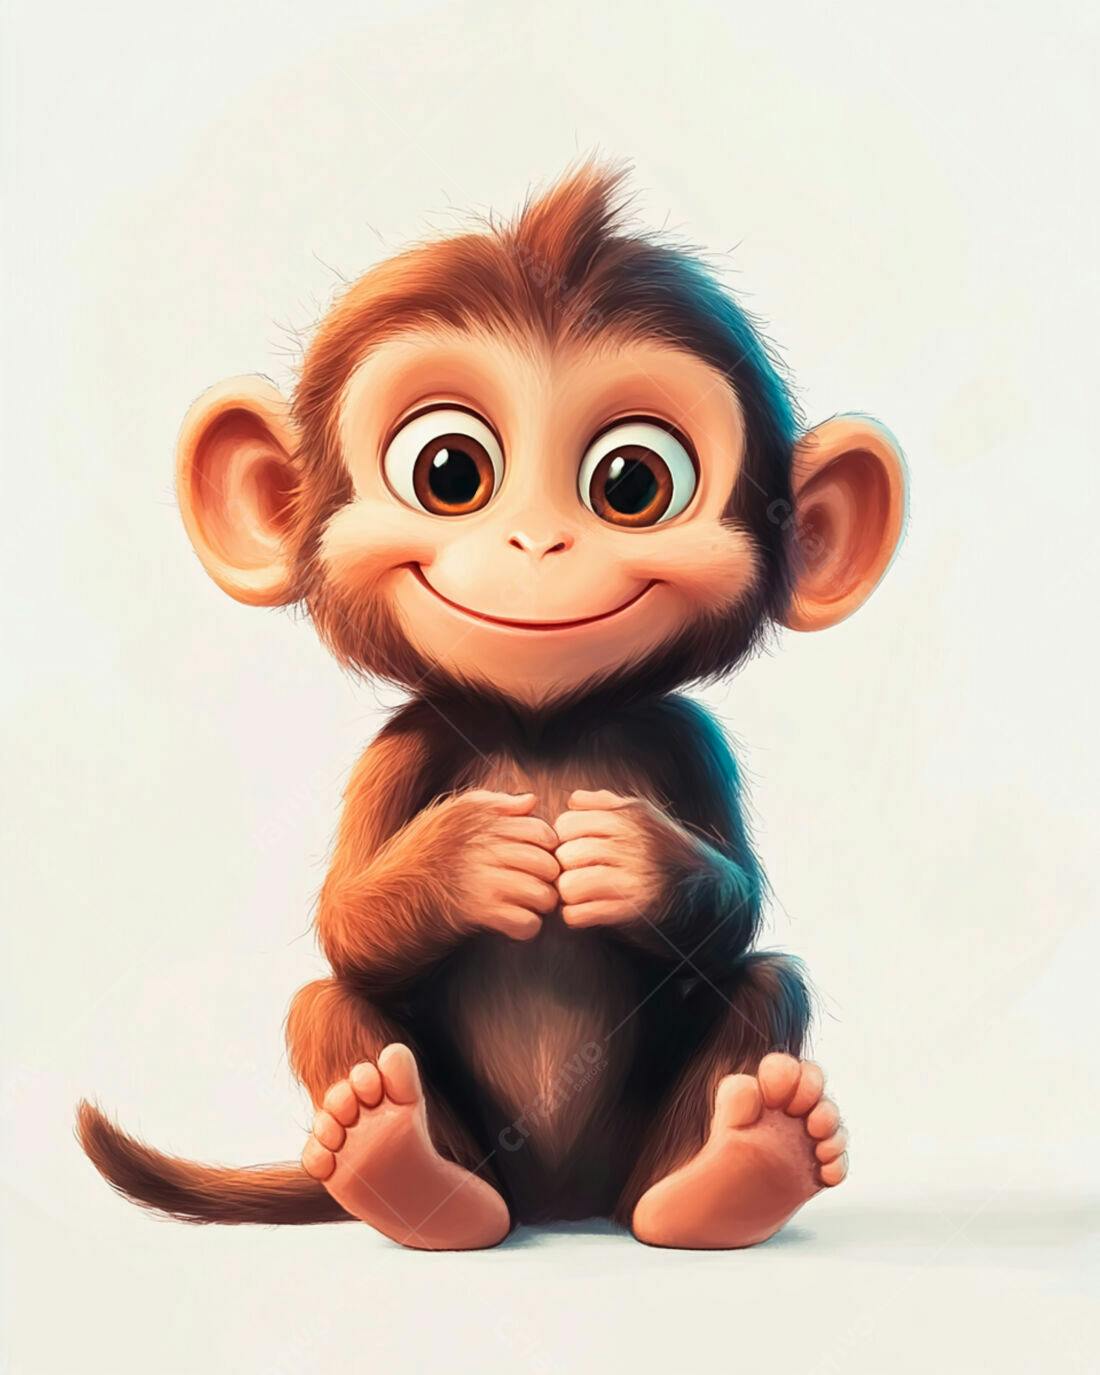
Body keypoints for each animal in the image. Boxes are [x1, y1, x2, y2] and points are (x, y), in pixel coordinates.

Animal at [77, 162, 906, 1250]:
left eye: (632, 482)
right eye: (449, 472)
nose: (538, 543)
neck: (540, 726)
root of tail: (559, 1206)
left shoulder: (687, 736)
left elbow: (732, 915)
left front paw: (625, 856)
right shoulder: (407, 740)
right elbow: (345, 925)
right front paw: (472, 860)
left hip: (633, 1165)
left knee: (768, 983)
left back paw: (732, 1171)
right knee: (324, 1003)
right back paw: (404, 1168)